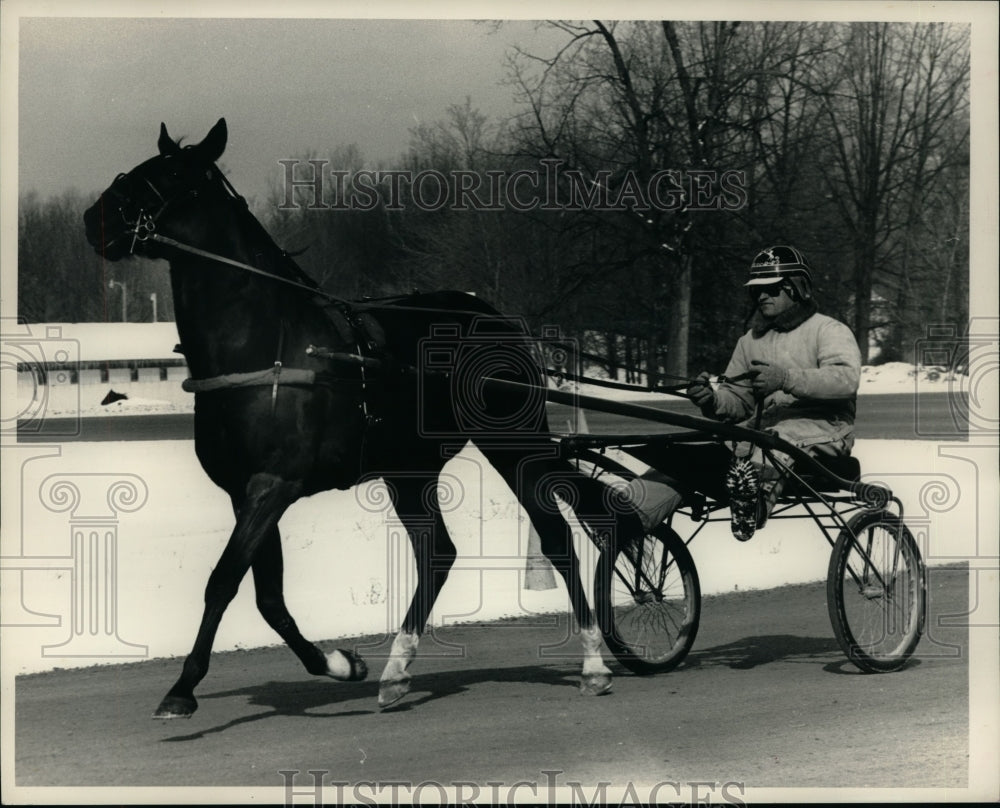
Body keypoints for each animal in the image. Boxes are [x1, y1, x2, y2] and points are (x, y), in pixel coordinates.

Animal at [86, 118, 640, 712]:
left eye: (170, 175)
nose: (94, 219)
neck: (263, 347)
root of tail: (496, 317)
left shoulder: (273, 484)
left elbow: (224, 580)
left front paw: (182, 688)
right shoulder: (246, 489)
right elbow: (268, 596)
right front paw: (338, 663)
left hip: (512, 442)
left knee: (555, 537)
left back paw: (593, 663)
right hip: (409, 468)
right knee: (438, 553)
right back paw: (396, 671)